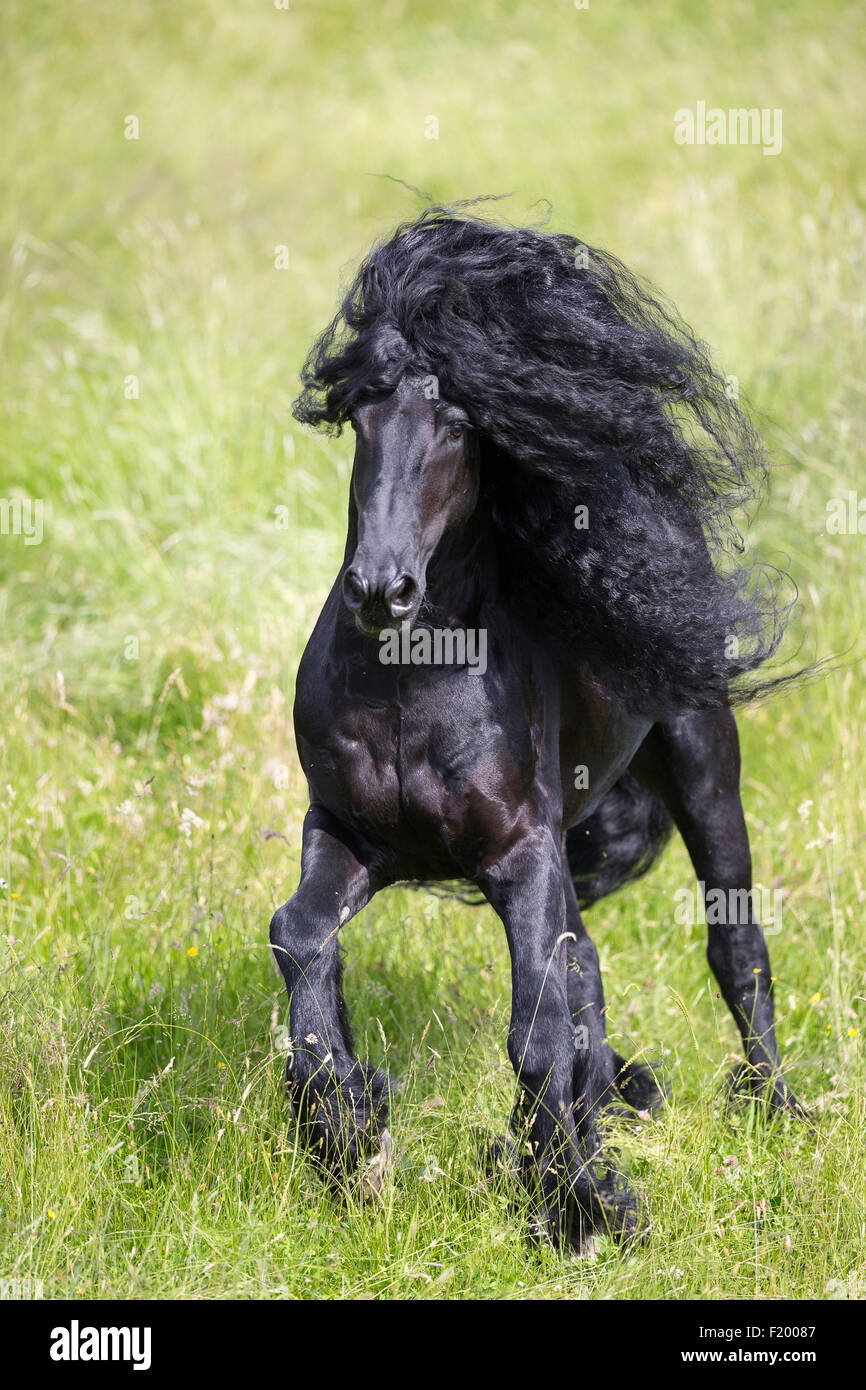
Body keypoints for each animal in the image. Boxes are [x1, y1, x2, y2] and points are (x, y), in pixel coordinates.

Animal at [269, 204, 806, 1251]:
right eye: (362, 415)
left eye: (459, 422)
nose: (382, 590)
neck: (414, 682)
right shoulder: (348, 835)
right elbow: (300, 935)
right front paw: (350, 1138)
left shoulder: (520, 854)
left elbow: (537, 1034)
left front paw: (580, 1206)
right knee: (588, 967)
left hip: (702, 775)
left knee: (737, 949)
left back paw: (775, 1107)